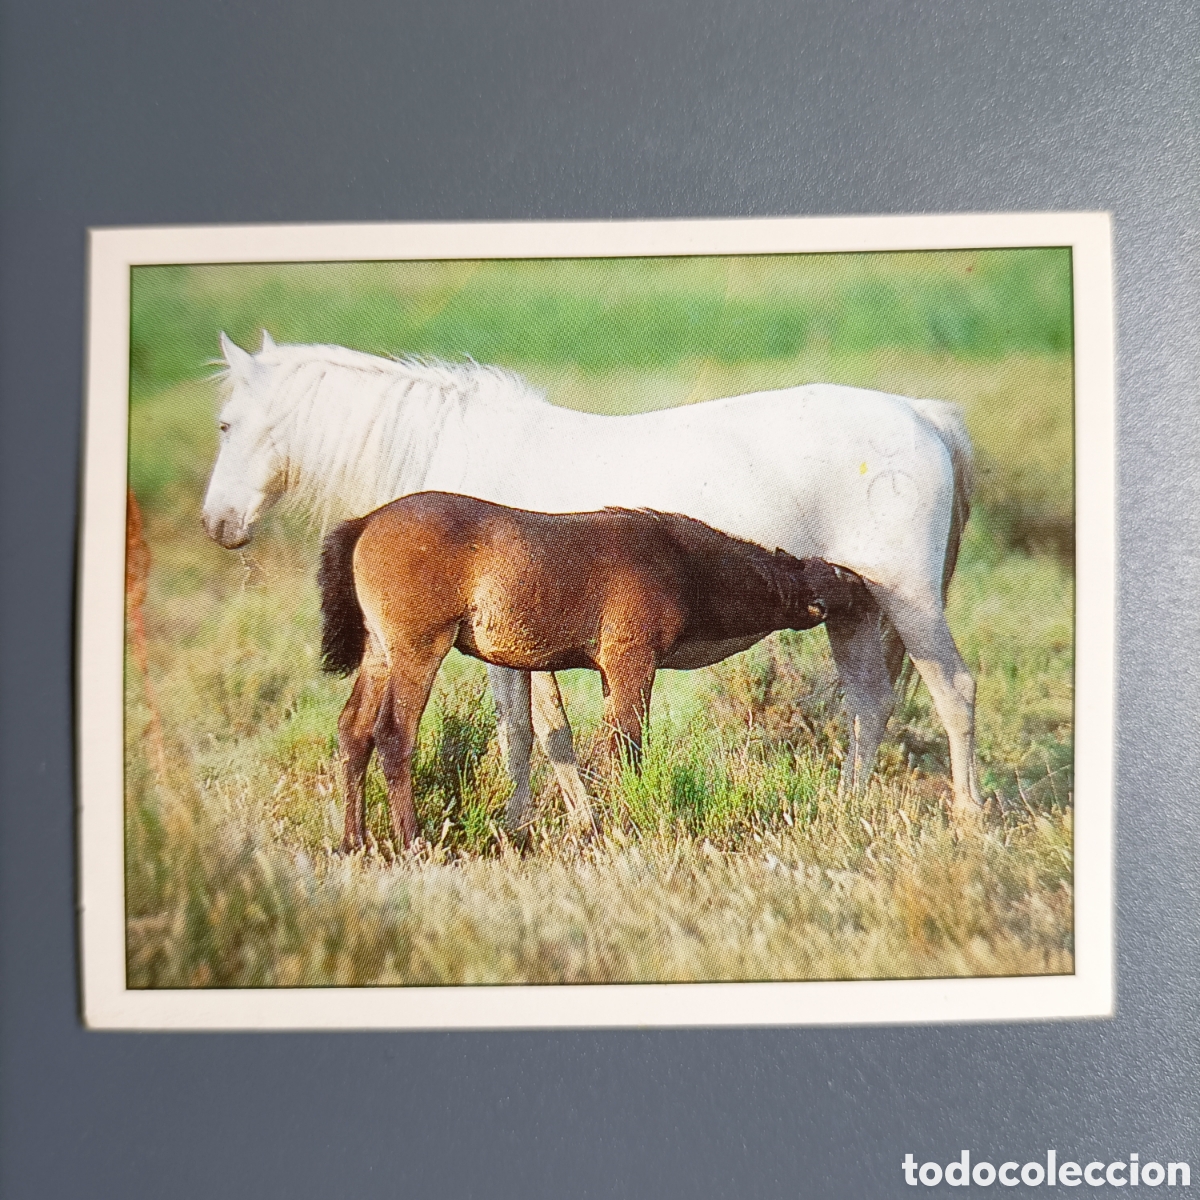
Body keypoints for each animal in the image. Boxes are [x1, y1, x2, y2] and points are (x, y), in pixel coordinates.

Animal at [318, 491, 877, 849]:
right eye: (839, 574)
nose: (868, 588)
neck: (682, 560)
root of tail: (366, 522)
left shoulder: (611, 673)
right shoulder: (631, 662)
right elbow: (626, 746)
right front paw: (629, 821)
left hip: (380, 656)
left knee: (354, 733)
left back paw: (353, 841)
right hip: (417, 652)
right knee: (393, 734)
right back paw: (411, 840)